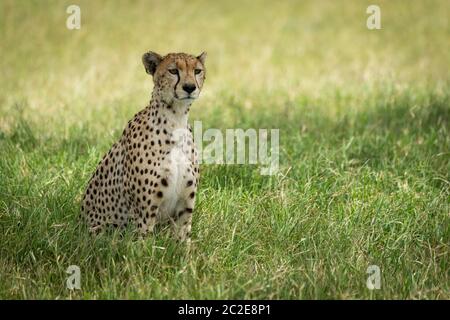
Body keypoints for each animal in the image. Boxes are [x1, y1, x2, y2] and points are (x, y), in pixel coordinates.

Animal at [81, 50, 207, 241]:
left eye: (197, 71)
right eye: (173, 71)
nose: (189, 87)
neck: (176, 119)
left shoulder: (185, 205)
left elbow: (183, 239)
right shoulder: (145, 212)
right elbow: (145, 243)